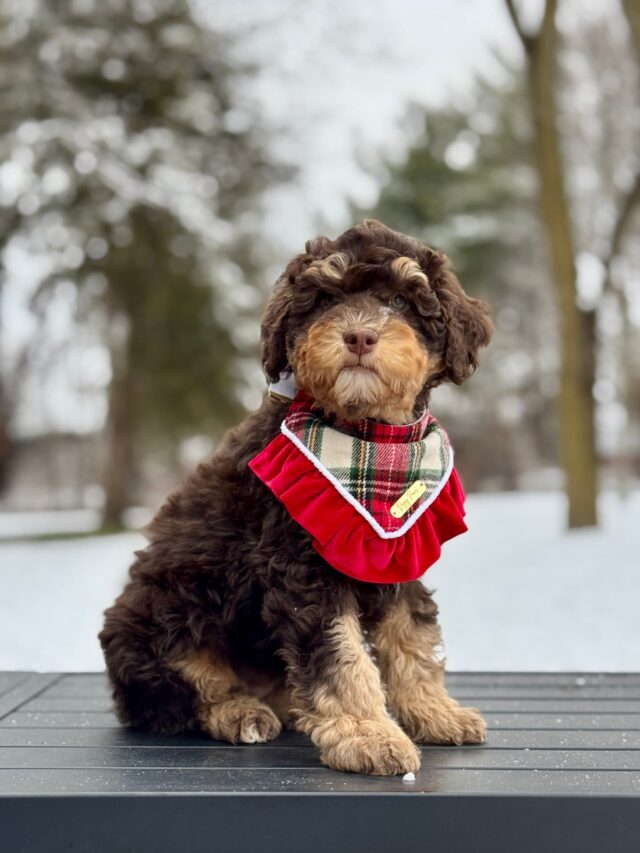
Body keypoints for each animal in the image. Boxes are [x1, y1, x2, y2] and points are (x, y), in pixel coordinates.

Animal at [100, 218, 492, 772]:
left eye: (399, 299)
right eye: (325, 299)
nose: (359, 335)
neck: (369, 434)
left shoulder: (400, 555)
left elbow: (411, 638)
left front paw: (434, 712)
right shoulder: (303, 570)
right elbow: (341, 657)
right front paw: (368, 734)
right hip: (163, 612)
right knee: (184, 686)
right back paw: (240, 711)